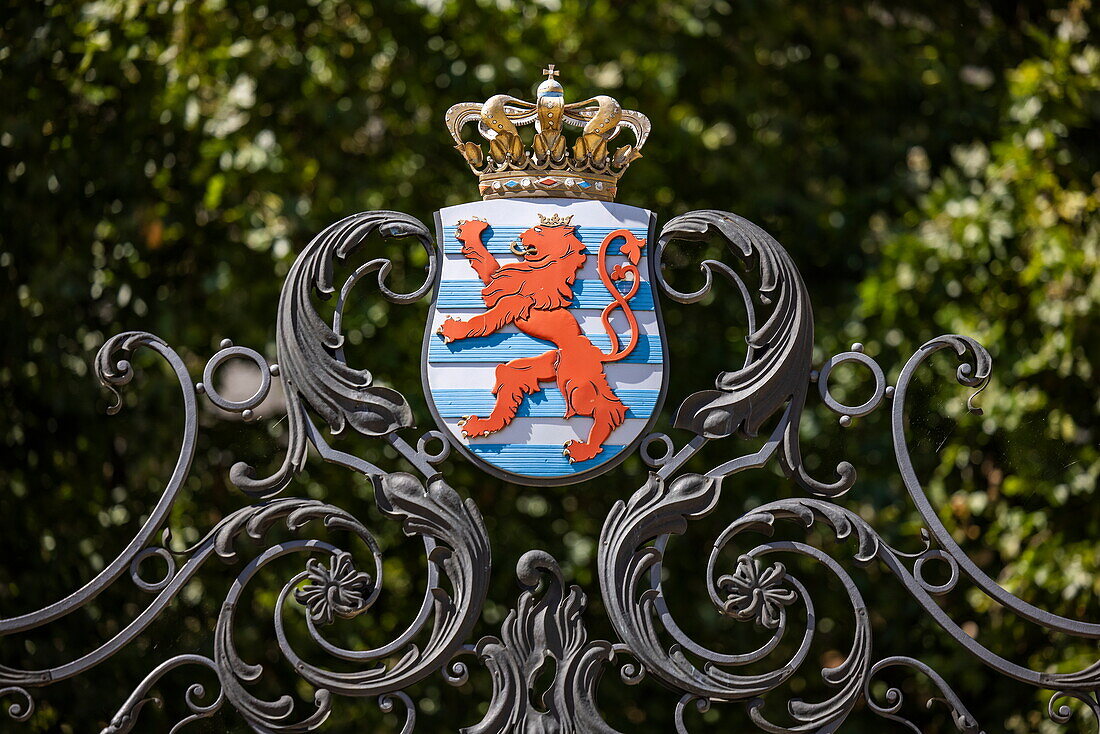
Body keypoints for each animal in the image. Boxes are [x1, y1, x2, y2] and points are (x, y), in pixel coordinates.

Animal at [435, 215, 642, 462]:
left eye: (538, 230)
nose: (522, 235)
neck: (544, 268)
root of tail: (596, 352)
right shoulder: (501, 281)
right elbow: (484, 261)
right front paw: (472, 229)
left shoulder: (512, 303)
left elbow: (482, 321)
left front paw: (453, 329)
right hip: (551, 365)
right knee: (506, 375)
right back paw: (481, 426)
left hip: (576, 384)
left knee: (607, 408)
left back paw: (583, 450)